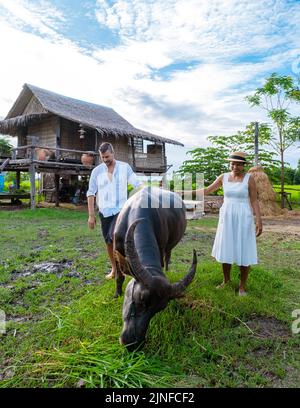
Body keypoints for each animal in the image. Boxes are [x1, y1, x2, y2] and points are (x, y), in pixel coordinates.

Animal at [112, 188, 197, 350]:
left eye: (159, 309)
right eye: (140, 298)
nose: (133, 345)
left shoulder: (161, 246)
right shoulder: (116, 248)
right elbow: (120, 276)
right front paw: (117, 294)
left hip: (170, 246)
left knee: (167, 258)